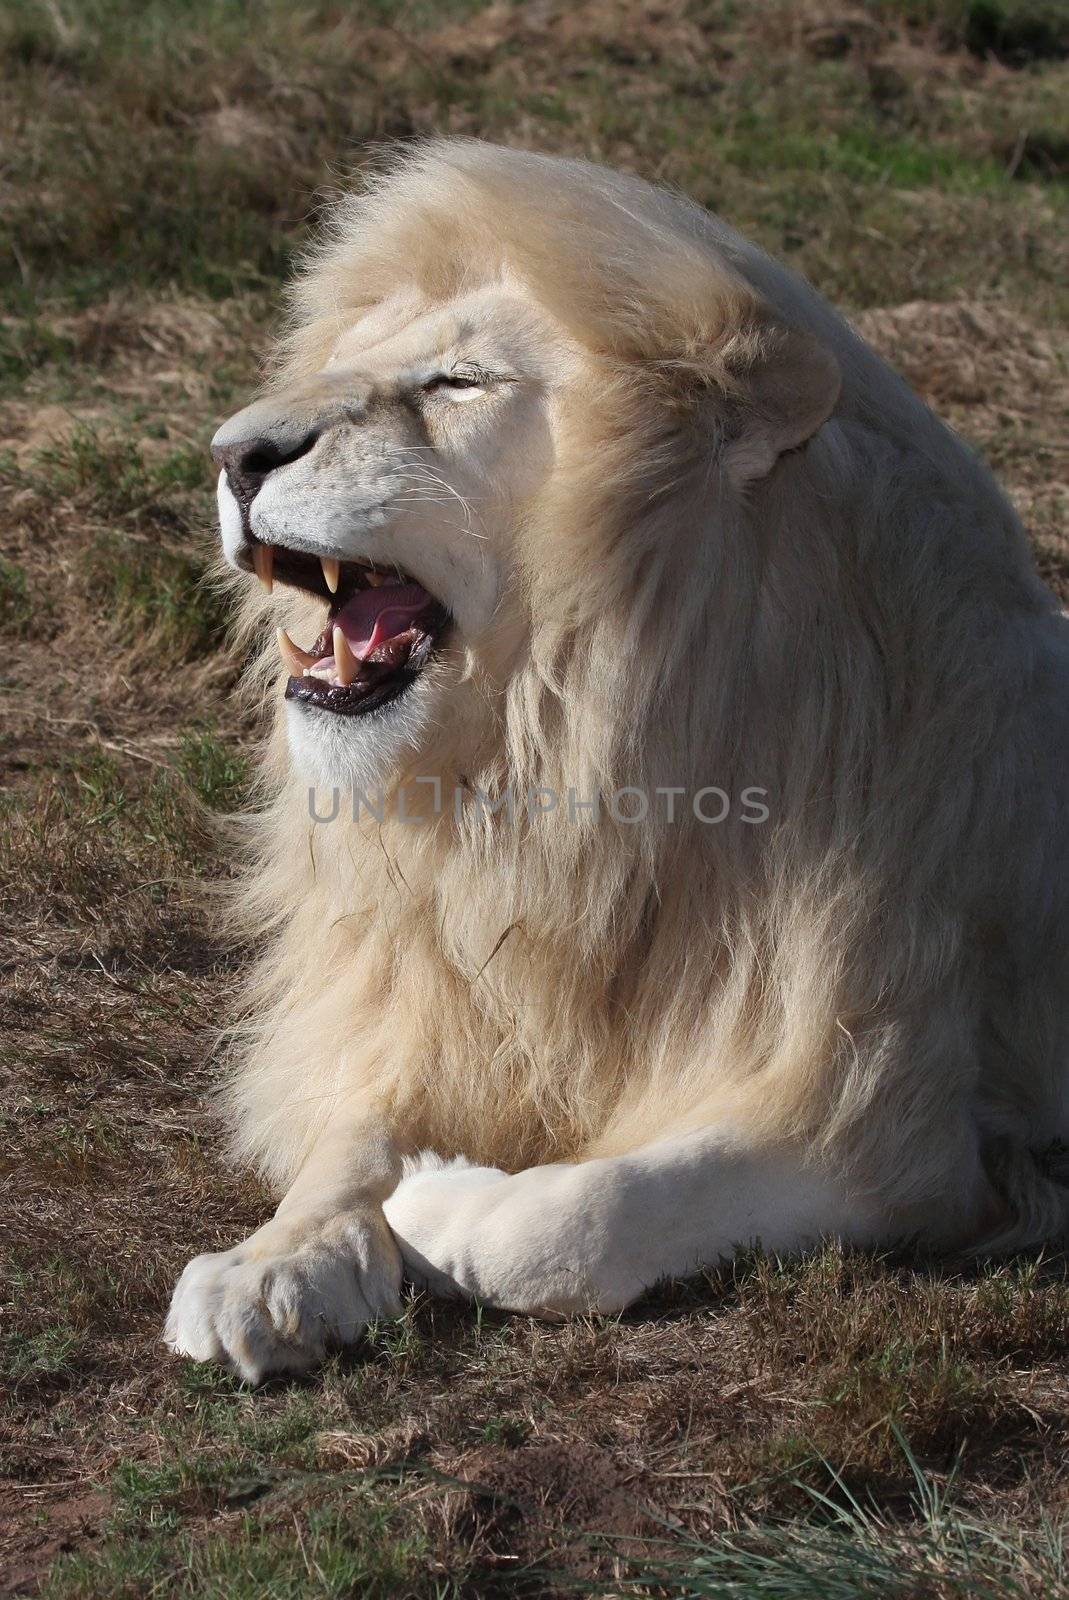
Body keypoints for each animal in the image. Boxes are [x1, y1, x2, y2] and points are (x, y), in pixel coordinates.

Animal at [163, 140, 1069, 1388]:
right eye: (346, 367)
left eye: (459, 383)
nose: (234, 453)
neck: (563, 790)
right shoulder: (428, 997)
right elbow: (348, 1133)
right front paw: (269, 1268)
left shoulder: (910, 1130)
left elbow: (573, 1220)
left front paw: (438, 1201)